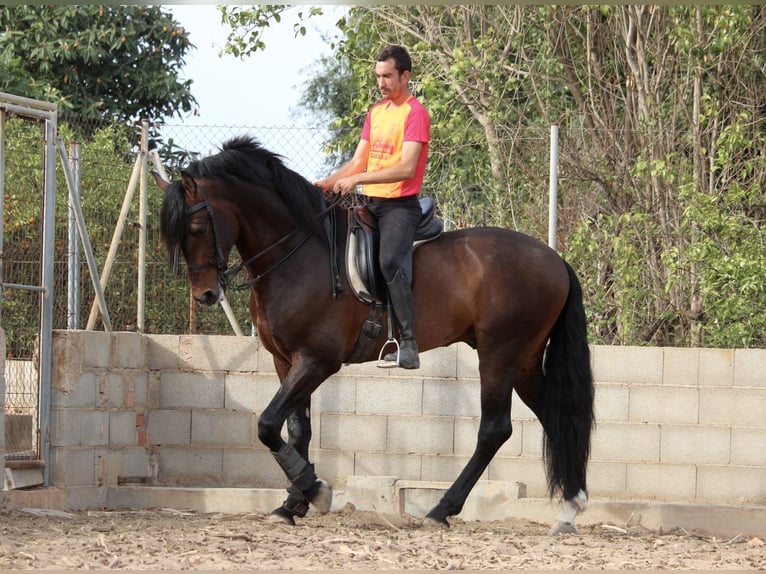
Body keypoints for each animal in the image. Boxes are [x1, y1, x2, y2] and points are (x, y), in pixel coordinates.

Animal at [156, 135, 596, 536]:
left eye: (197, 227)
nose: (206, 295)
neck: (298, 254)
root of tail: (554, 260)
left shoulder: (317, 361)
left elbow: (266, 424)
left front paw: (316, 491)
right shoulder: (287, 360)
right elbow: (296, 430)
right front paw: (293, 503)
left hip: (499, 354)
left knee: (494, 430)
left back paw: (442, 510)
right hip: (523, 360)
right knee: (553, 417)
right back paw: (570, 508)